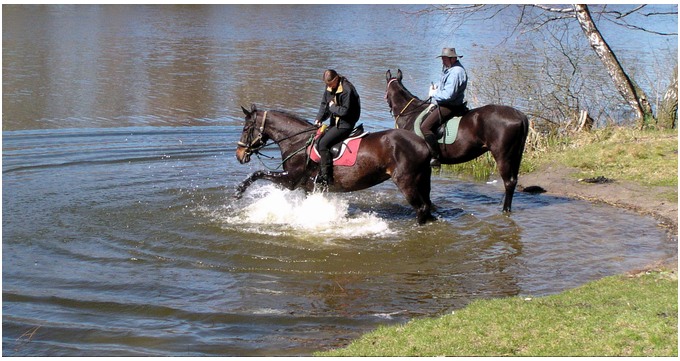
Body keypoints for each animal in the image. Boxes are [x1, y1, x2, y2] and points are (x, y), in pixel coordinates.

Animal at [236, 102, 432, 224]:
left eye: (246, 128)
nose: (239, 155)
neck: (297, 141)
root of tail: (423, 144)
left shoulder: (291, 180)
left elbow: (258, 173)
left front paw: (239, 191)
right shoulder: (307, 187)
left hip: (406, 181)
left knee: (421, 208)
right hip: (422, 180)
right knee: (428, 207)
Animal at [386, 68, 528, 211]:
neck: (411, 115)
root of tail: (519, 115)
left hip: (503, 156)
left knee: (508, 182)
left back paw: (505, 209)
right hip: (516, 155)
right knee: (513, 181)